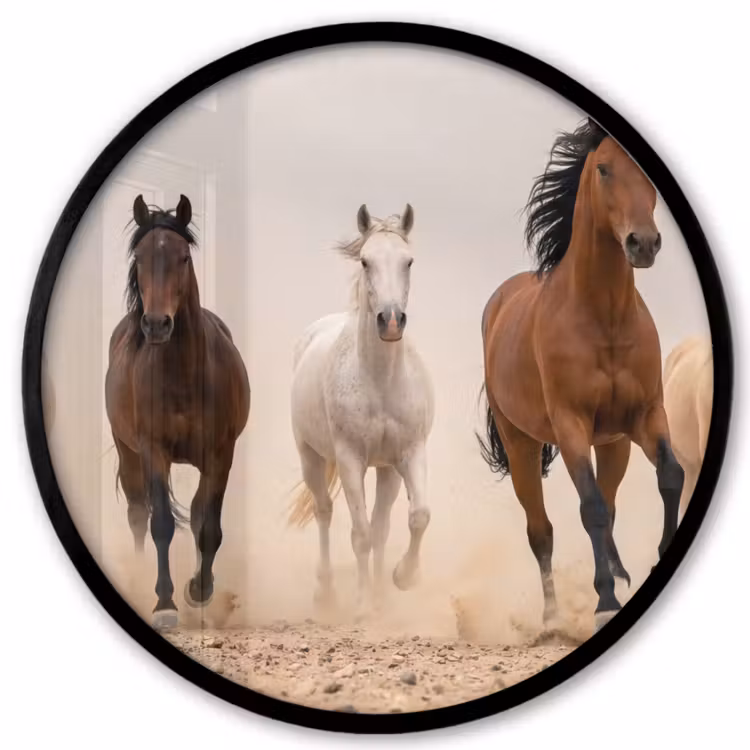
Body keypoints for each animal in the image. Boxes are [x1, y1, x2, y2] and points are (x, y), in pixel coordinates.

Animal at [105, 194, 250, 629]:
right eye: (139, 257)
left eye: (183, 257)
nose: (156, 324)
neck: (185, 374)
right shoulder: (153, 451)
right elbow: (162, 525)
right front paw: (164, 604)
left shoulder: (220, 455)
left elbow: (209, 526)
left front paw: (199, 590)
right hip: (128, 453)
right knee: (139, 513)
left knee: (199, 513)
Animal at [288, 204, 434, 616]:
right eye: (366, 261)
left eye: (408, 261)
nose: (391, 321)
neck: (380, 381)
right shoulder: (351, 459)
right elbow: (361, 534)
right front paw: (364, 605)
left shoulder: (407, 455)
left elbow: (415, 518)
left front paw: (401, 579)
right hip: (311, 457)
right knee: (323, 511)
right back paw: (326, 593)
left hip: (384, 470)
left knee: (381, 525)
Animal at [479, 118, 684, 631]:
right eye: (605, 169)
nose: (643, 244)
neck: (603, 318)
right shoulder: (570, 424)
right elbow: (588, 508)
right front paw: (604, 600)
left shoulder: (645, 415)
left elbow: (670, 475)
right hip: (522, 445)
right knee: (542, 530)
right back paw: (553, 617)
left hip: (613, 444)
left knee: (609, 505)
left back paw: (621, 574)